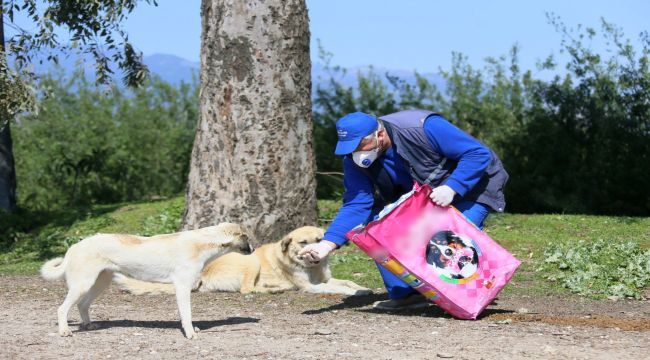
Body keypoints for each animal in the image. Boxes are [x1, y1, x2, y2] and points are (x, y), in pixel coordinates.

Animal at [39, 224, 249, 338]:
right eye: (245, 237)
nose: (251, 248)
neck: (203, 243)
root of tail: (75, 245)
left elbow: (185, 315)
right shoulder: (182, 287)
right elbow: (187, 314)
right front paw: (190, 334)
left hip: (99, 284)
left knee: (82, 305)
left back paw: (89, 325)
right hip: (83, 285)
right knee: (62, 309)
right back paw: (65, 331)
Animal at [114, 226, 372, 296]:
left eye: (319, 240)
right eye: (302, 242)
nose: (314, 254)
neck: (311, 270)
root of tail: (203, 272)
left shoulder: (326, 278)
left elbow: (347, 282)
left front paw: (362, 288)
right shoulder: (311, 286)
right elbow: (339, 288)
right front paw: (353, 293)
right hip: (251, 263)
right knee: (247, 290)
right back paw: (273, 289)